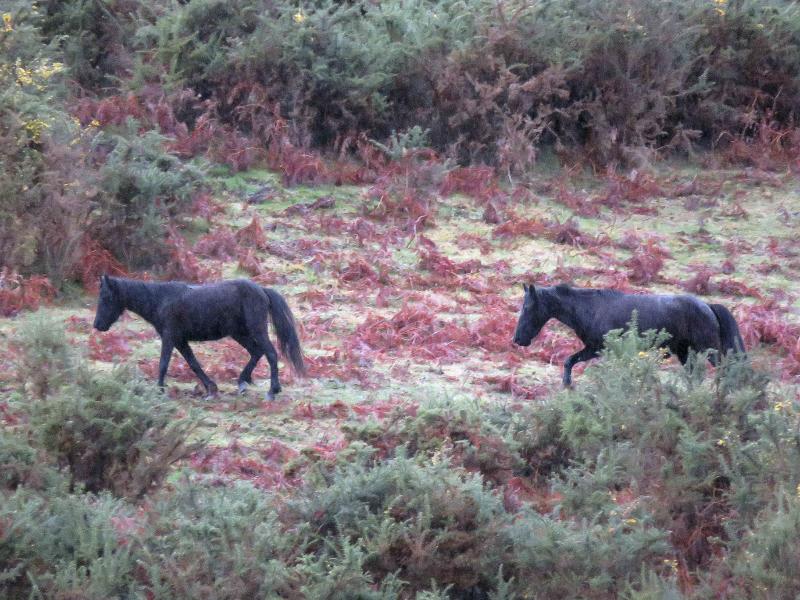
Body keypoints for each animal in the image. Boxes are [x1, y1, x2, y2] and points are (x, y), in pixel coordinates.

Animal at [93, 276, 305, 399]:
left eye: (106, 297)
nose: (97, 325)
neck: (160, 300)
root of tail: (262, 290)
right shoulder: (180, 341)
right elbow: (193, 363)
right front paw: (211, 389)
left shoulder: (170, 337)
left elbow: (163, 364)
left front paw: (159, 390)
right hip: (239, 333)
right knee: (257, 352)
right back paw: (242, 383)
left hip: (256, 331)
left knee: (270, 353)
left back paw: (272, 390)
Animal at [512, 283, 745, 387]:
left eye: (528, 307)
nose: (517, 339)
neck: (591, 309)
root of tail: (708, 306)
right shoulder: (597, 350)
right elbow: (570, 361)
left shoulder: (596, 349)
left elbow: (570, 361)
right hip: (686, 353)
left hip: (708, 349)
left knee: (725, 369)